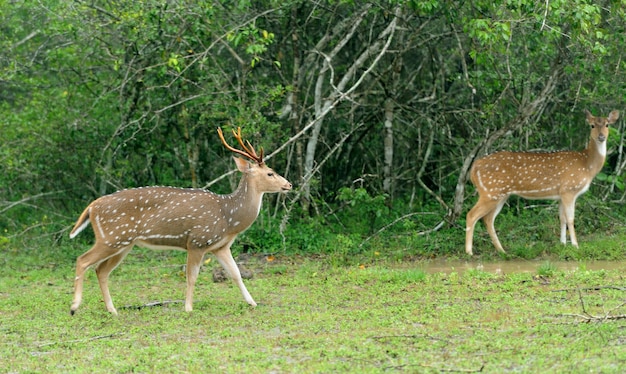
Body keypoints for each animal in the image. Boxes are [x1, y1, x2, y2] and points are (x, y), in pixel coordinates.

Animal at [68, 127, 292, 314]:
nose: (289, 184)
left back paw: (112, 310)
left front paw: (252, 302)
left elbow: (235, 273)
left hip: (123, 243)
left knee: (101, 270)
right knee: (82, 260)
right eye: (270, 173)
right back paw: (74, 307)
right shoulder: (197, 241)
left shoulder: (220, 246)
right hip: (111, 238)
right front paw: (188, 308)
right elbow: (192, 276)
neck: (229, 218)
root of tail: (92, 207)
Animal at [466, 109, 616, 256]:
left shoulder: (560, 194)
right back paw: (469, 252)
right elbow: (571, 219)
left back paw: (502, 251)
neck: (587, 165)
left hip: (500, 195)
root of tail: (474, 168)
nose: (601, 137)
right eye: (592, 125)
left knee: (488, 219)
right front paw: (575, 246)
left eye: (607, 125)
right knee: (472, 215)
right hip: (490, 192)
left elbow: (562, 218)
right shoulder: (569, 190)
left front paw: (562, 244)